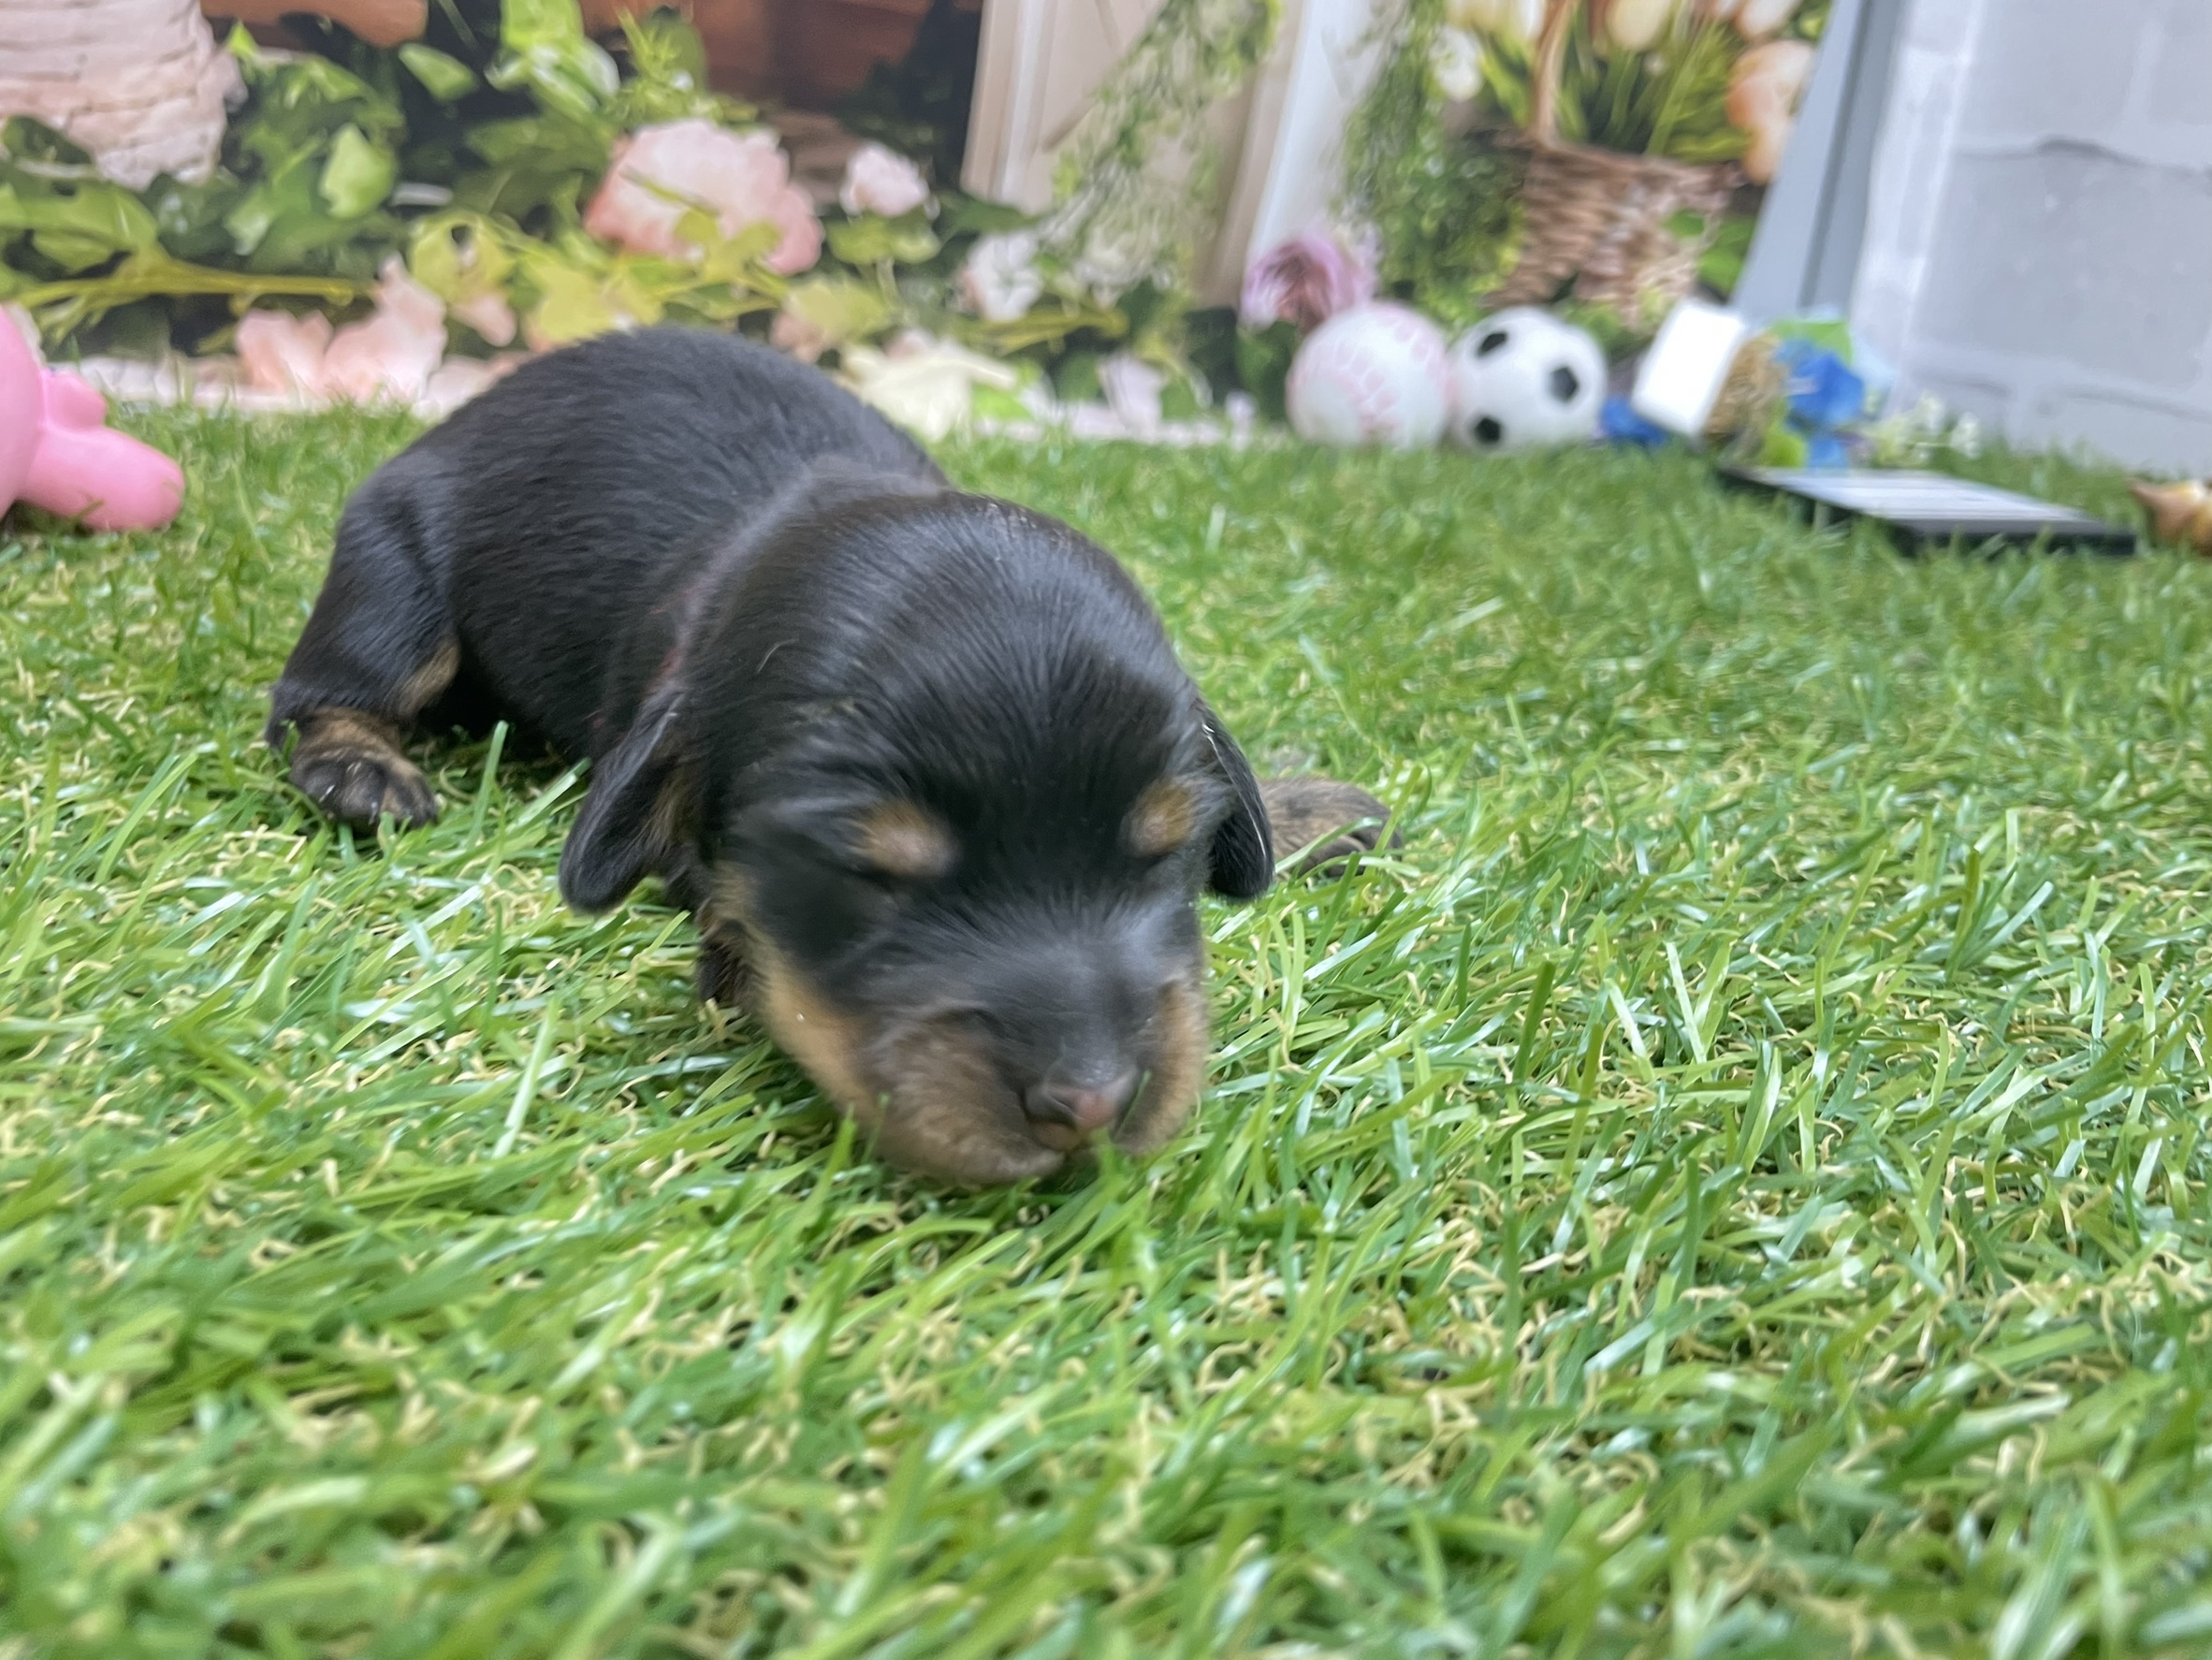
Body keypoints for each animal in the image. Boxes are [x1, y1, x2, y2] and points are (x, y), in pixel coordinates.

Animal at [268, 328, 1391, 1184]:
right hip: (393, 572)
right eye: (865, 872)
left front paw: (1303, 809)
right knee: (321, 694)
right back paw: (360, 771)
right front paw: (734, 956)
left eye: (1169, 850)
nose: (1092, 1107)